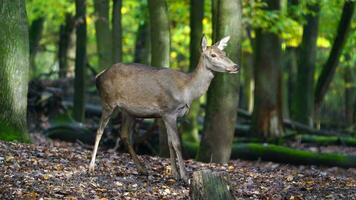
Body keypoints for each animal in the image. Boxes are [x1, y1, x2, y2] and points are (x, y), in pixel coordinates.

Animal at [88, 35, 241, 182]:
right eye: (213, 55)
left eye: (224, 53)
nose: (236, 66)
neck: (187, 91)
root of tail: (98, 76)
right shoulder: (169, 112)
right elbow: (177, 143)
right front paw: (185, 176)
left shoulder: (166, 115)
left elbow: (169, 142)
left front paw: (175, 174)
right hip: (108, 102)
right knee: (99, 131)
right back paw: (91, 167)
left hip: (128, 111)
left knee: (124, 134)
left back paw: (142, 169)